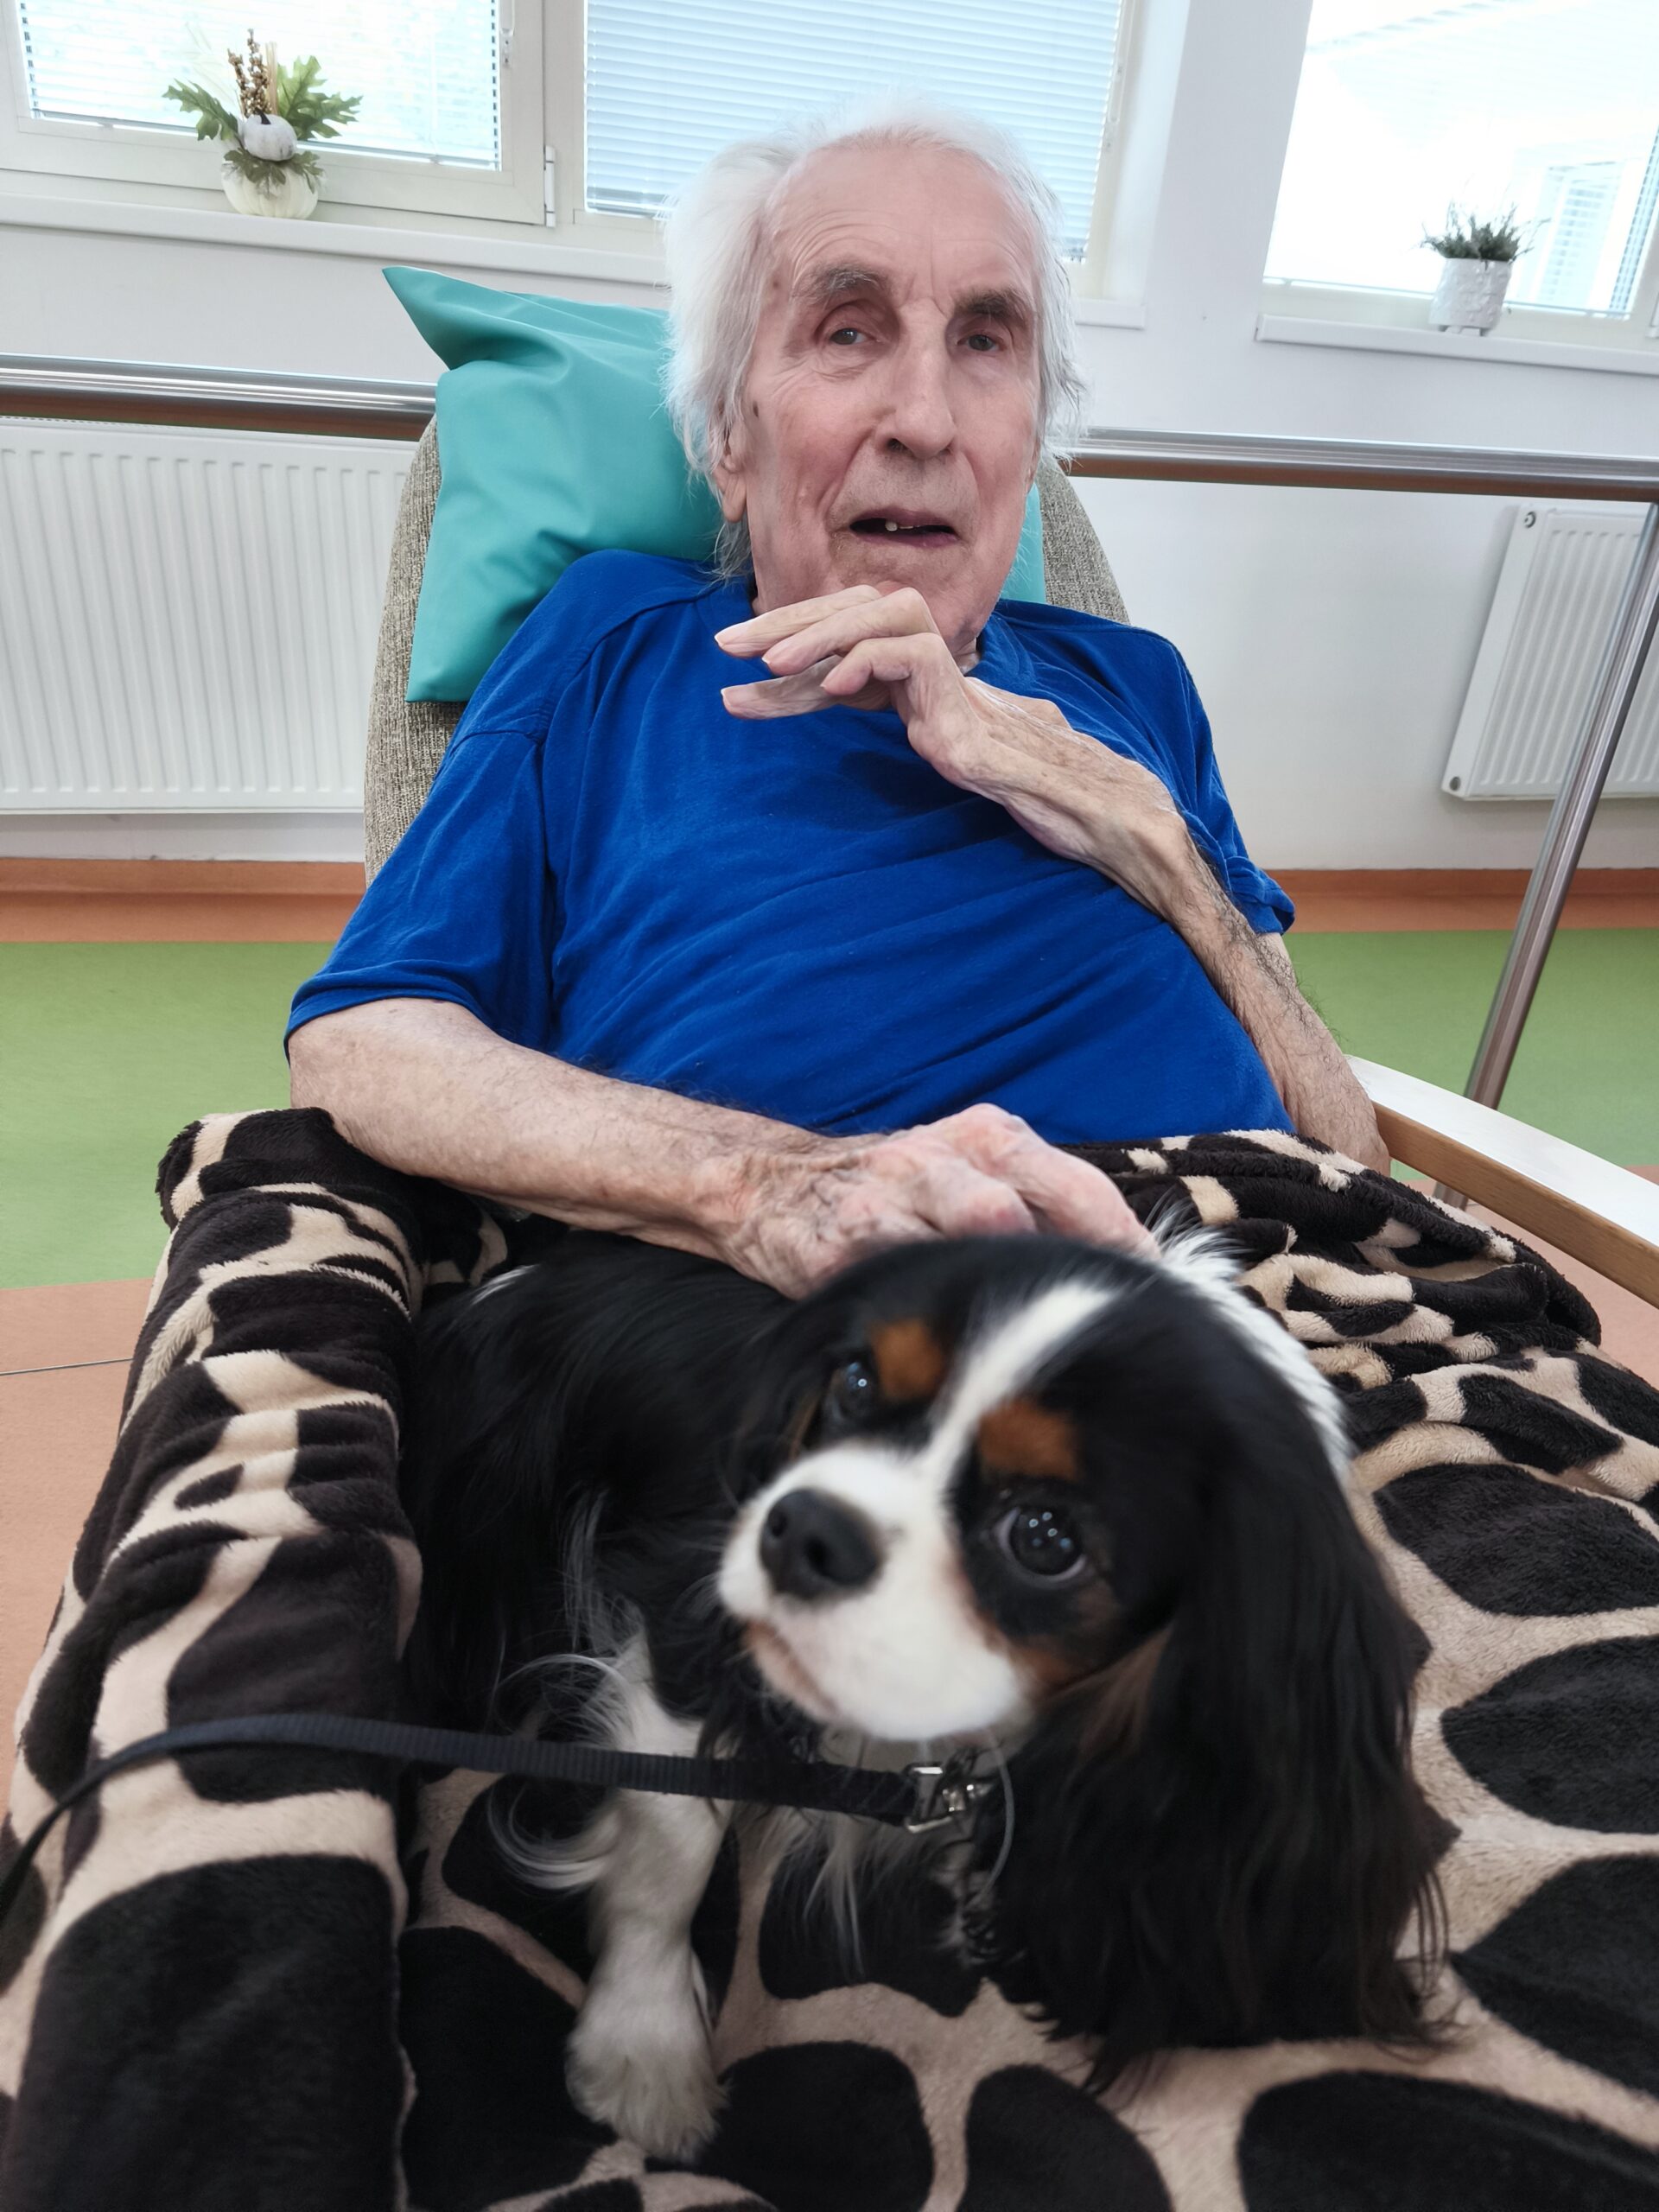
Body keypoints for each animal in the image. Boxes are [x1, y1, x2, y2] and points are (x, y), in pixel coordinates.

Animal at [400, 1223, 1441, 2158]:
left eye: (1046, 1538)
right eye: (855, 1385)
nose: (802, 1527)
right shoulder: (684, 1628)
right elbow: (672, 1844)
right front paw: (643, 2051)